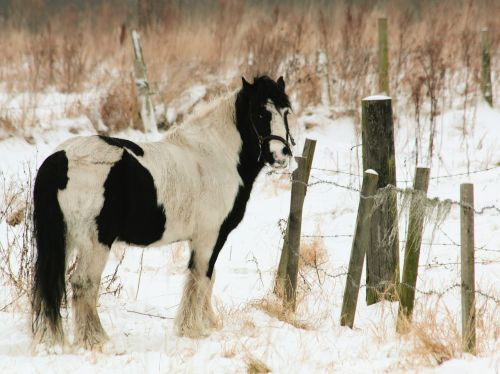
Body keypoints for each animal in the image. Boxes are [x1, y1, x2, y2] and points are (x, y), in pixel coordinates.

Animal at [31, 74, 294, 350]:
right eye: (260, 113)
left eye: (286, 112)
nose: (281, 155)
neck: (216, 156)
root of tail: (60, 159)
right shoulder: (210, 236)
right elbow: (201, 278)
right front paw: (193, 329)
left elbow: (208, 278)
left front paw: (207, 323)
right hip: (95, 242)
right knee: (83, 284)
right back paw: (96, 339)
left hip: (66, 239)